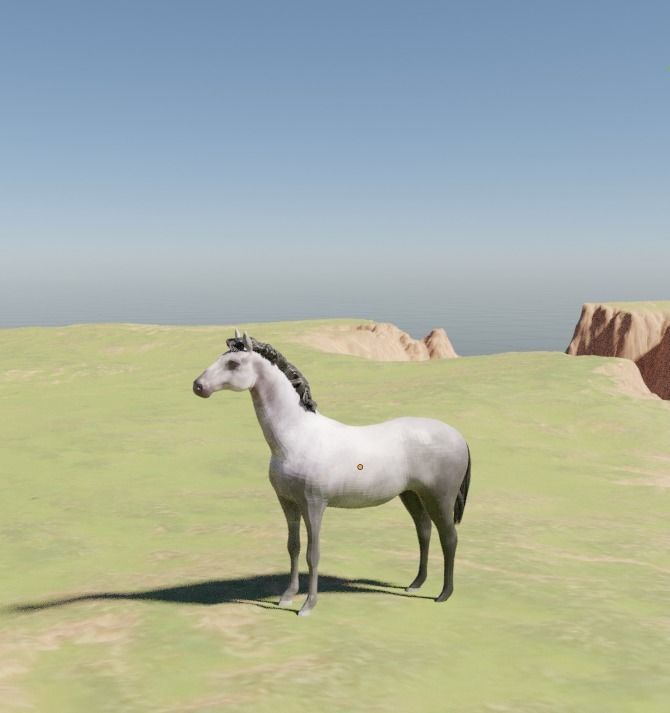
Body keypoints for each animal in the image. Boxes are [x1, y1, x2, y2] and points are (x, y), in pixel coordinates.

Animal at [193, 329, 472, 616]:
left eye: (233, 363)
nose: (198, 386)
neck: (296, 436)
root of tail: (458, 436)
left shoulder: (314, 504)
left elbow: (312, 554)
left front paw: (307, 605)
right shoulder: (288, 503)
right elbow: (293, 547)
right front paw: (287, 597)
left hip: (439, 498)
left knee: (449, 538)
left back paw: (443, 594)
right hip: (412, 495)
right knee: (424, 532)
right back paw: (415, 584)